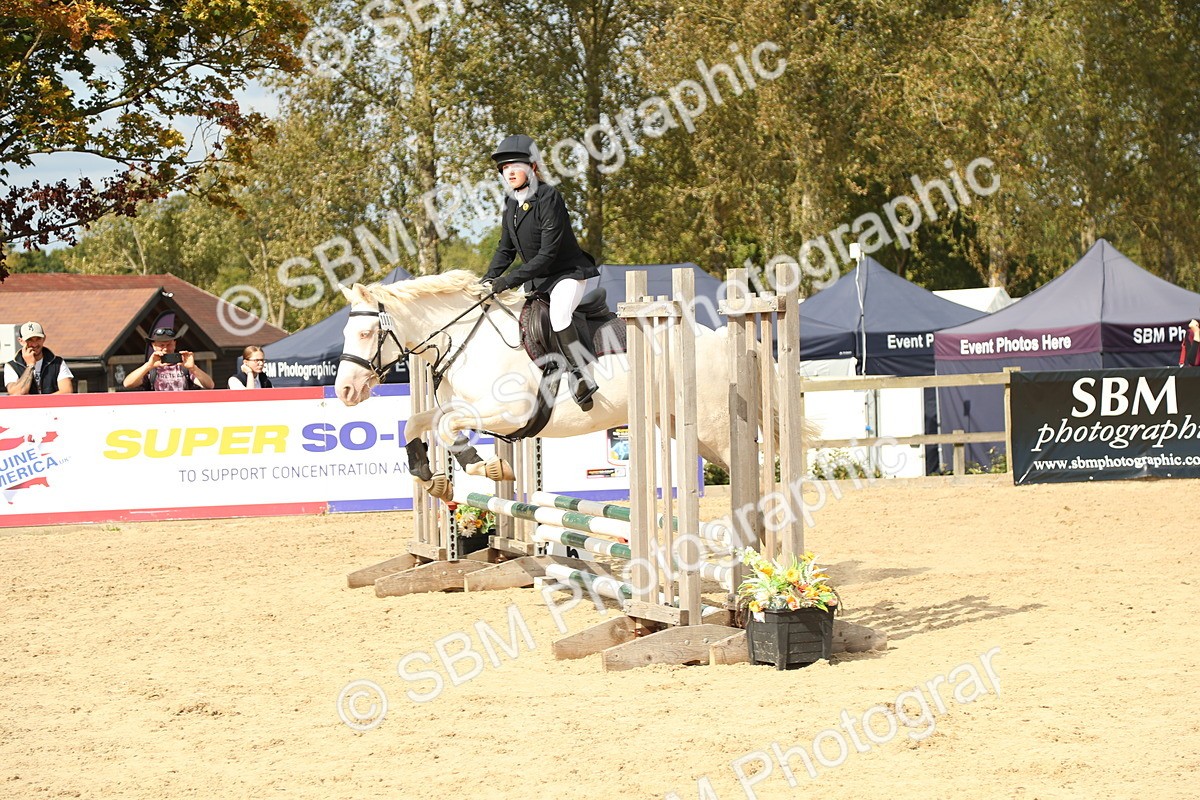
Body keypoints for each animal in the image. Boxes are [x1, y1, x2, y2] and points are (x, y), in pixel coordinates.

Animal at [334, 270, 739, 498]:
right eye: (347, 332)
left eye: (366, 333)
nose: (344, 392)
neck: (465, 339)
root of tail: (714, 337)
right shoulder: (465, 406)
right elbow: (418, 422)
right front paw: (430, 478)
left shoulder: (509, 412)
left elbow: (446, 426)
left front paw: (492, 468)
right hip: (678, 425)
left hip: (714, 428)